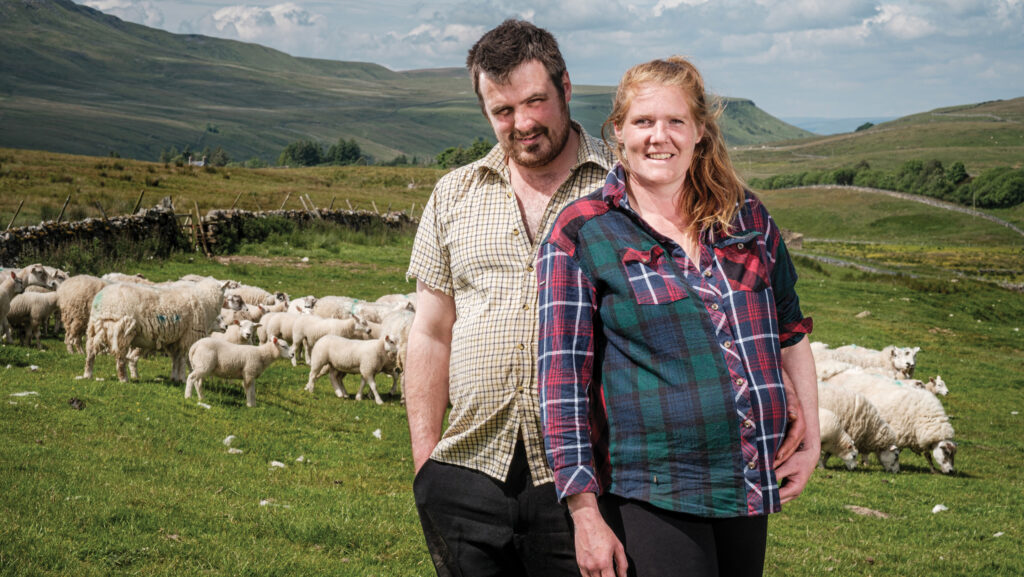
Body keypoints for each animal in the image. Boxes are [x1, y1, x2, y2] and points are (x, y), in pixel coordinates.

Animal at [83, 280, 228, 383]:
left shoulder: (176, 339)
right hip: (122, 329)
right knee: (120, 357)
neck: (205, 299)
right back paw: (124, 379)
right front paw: (181, 378)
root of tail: (102, 300)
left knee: (91, 351)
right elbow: (181, 359)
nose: (226, 327)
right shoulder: (188, 336)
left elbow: (176, 359)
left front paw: (174, 377)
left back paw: (87, 374)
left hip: (97, 327)